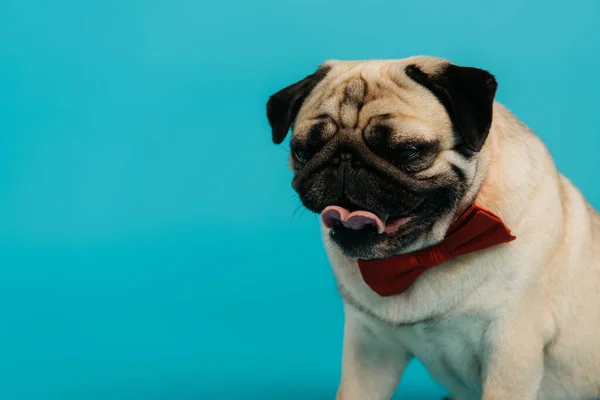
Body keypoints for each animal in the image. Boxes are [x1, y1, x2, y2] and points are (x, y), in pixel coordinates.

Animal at [266, 56, 600, 400]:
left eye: (406, 151)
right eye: (303, 151)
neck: (426, 253)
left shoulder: (510, 348)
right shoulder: (369, 347)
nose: (344, 160)